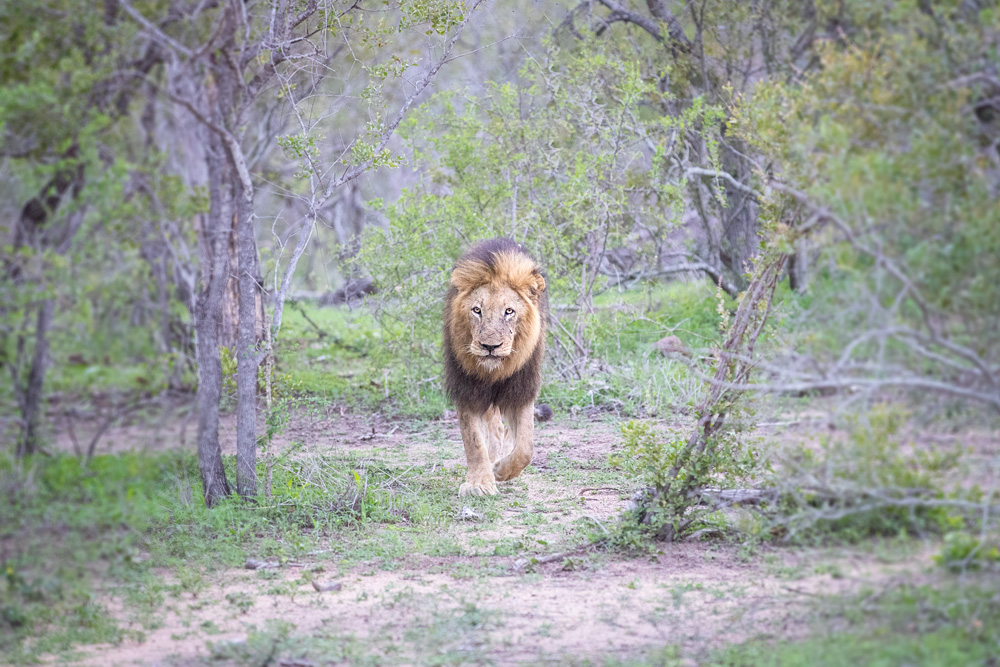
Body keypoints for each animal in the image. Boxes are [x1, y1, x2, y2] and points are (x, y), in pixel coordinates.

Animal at [448, 239, 556, 496]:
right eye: (477, 310)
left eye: (509, 311)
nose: (490, 346)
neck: (496, 370)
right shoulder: (467, 389)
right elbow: (474, 441)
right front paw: (479, 483)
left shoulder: (522, 388)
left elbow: (525, 447)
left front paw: (500, 471)